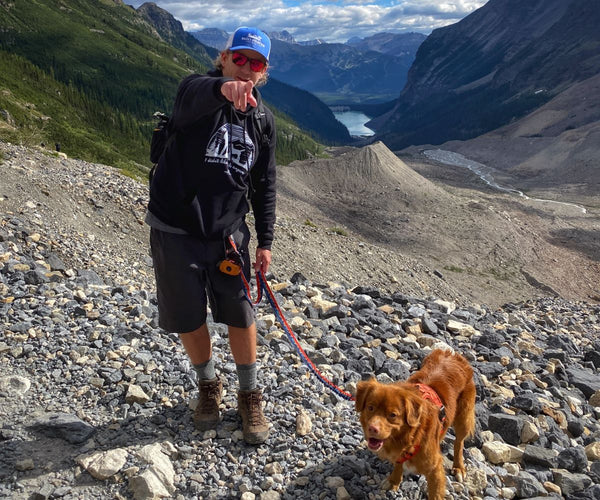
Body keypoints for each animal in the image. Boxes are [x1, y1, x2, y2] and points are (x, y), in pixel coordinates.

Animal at [354, 348, 476, 500]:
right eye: (370, 408)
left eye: (392, 415)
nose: (372, 428)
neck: (411, 437)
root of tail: (452, 354)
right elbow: (398, 464)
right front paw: (393, 481)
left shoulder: (435, 469)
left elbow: (435, 494)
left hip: (464, 418)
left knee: (459, 442)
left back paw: (458, 467)